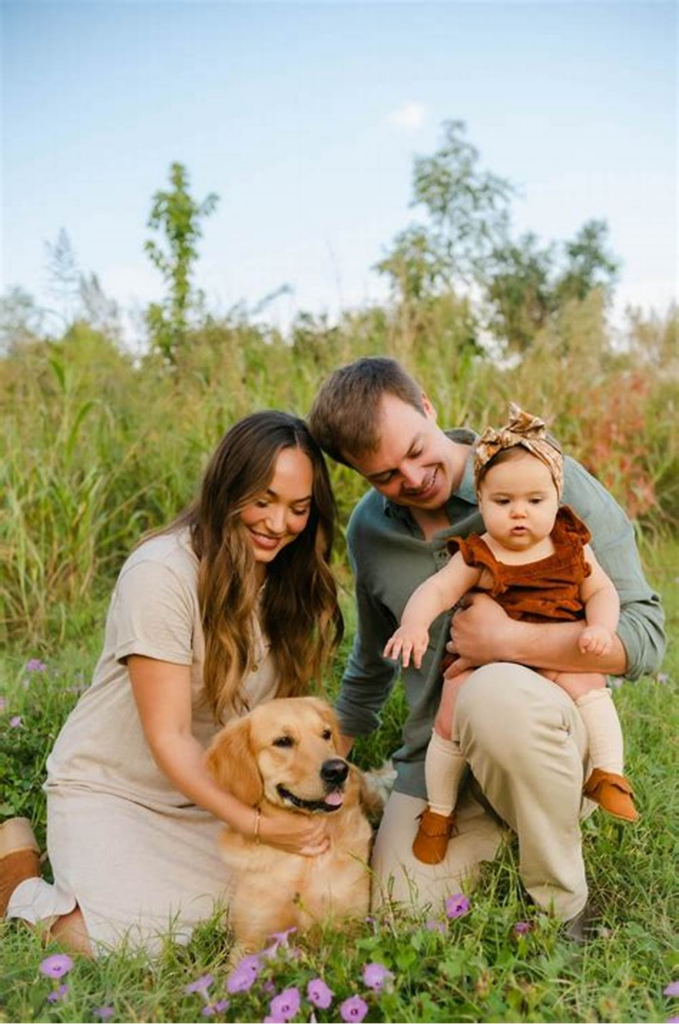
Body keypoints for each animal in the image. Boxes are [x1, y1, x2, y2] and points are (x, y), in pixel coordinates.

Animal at [206, 696, 376, 950]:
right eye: (283, 741)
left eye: (325, 734)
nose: (338, 770)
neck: (303, 863)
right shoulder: (250, 939)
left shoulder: (350, 930)